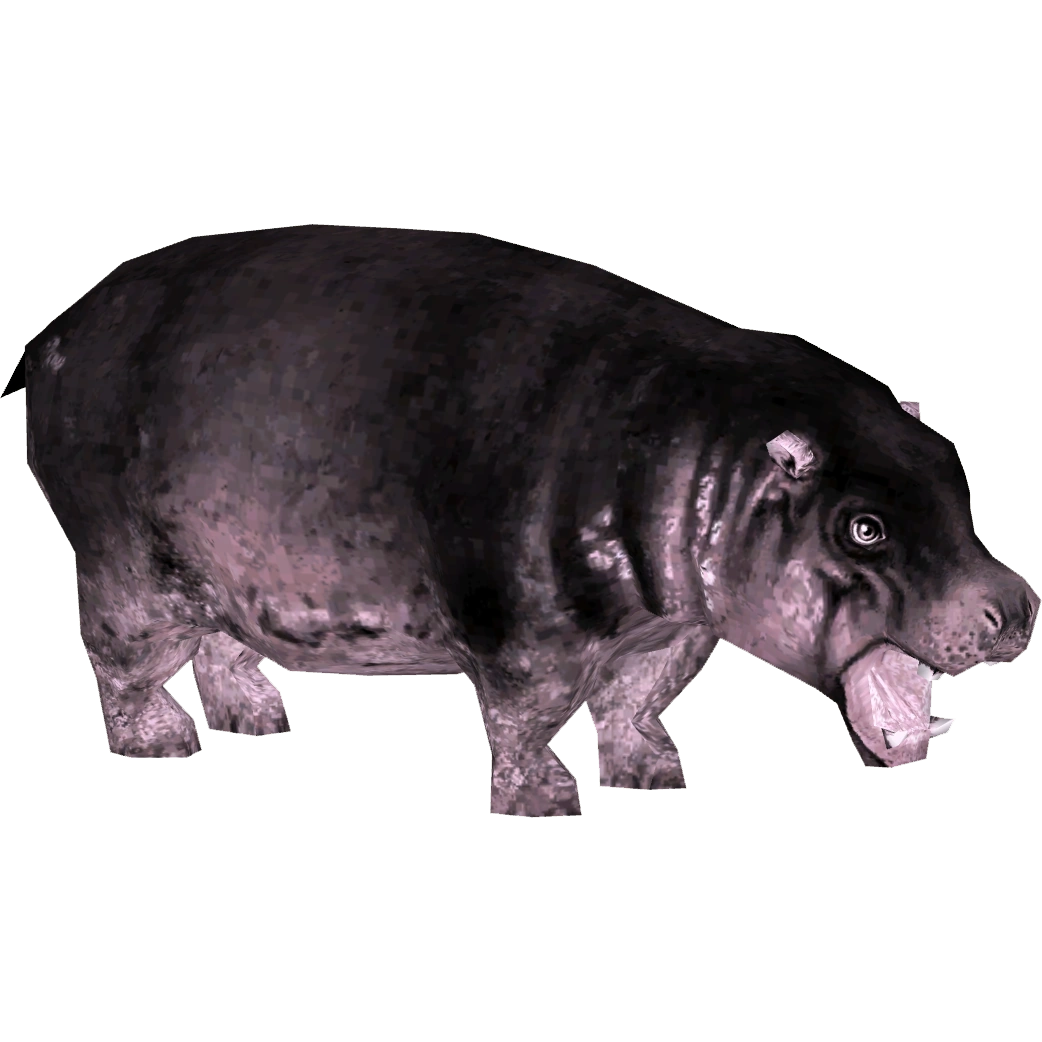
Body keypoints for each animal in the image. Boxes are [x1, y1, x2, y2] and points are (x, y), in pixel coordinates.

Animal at [3, 224, 1037, 818]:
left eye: (955, 469)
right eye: (862, 528)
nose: (1018, 604)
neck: (712, 446)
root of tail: (60, 323)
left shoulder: (677, 624)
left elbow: (641, 696)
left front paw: (654, 776)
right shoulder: (528, 626)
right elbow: (532, 711)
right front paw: (545, 805)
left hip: (219, 563)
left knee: (217, 636)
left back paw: (259, 719)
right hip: (125, 561)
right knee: (126, 654)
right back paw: (160, 746)